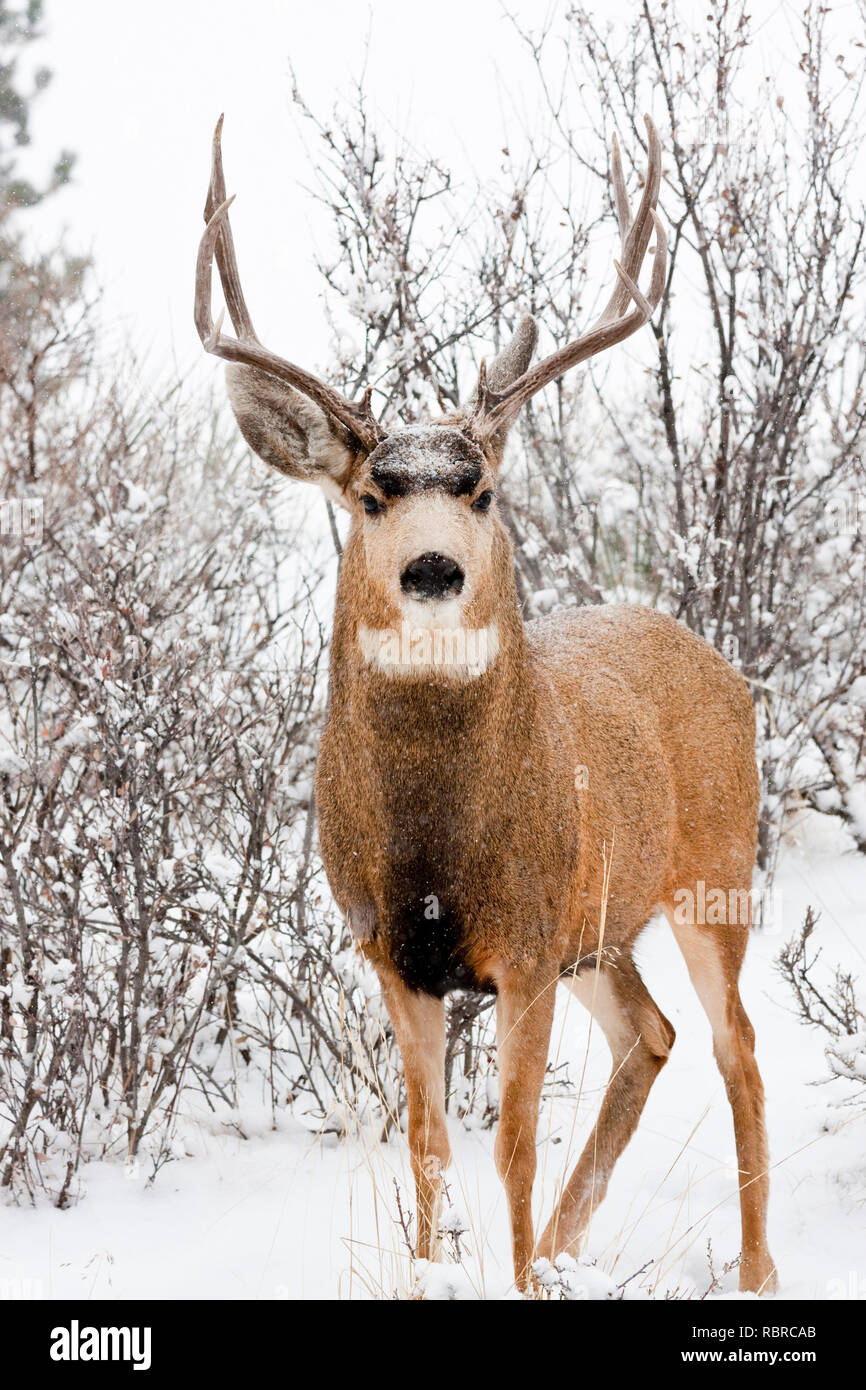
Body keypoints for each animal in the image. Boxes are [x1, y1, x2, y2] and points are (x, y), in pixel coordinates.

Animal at [195, 112, 777, 1296]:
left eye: (482, 490)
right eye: (372, 494)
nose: (432, 569)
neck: (436, 843)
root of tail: (717, 662)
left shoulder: (524, 938)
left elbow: (508, 1140)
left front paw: (506, 1275)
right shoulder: (394, 954)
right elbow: (427, 1143)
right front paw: (440, 1270)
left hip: (713, 869)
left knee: (736, 1051)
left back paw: (750, 1272)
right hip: (601, 925)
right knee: (653, 1036)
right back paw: (562, 1247)